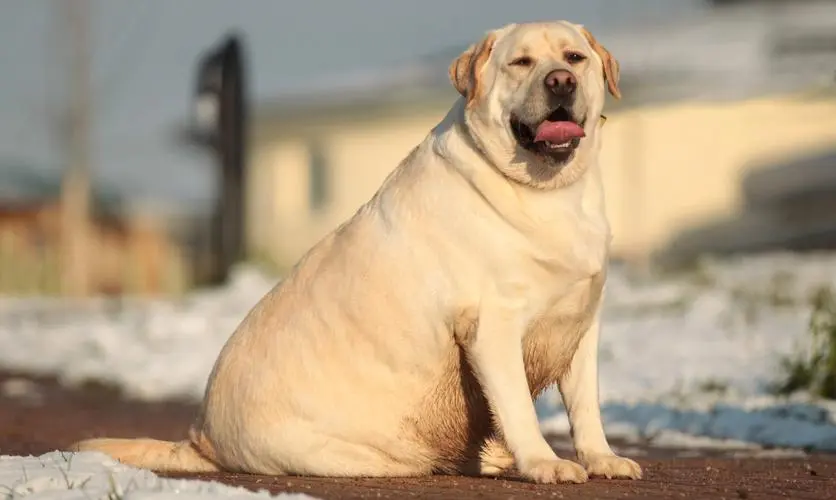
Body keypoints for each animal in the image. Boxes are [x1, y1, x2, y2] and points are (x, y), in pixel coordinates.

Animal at [75, 19, 644, 484]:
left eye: (574, 57)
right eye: (521, 62)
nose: (560, 82)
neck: (549, 192)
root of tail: (200, 437)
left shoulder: (581, 324)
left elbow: (586, 406)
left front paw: (601, 458)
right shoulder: (493, 327)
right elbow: (519, 406)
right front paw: (545, 462)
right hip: (363, 453)